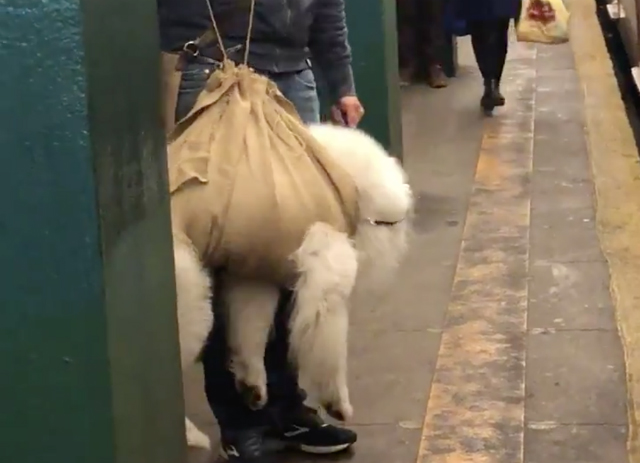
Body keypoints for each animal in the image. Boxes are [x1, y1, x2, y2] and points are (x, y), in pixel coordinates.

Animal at [172, 124, 412, 450]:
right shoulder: (325, 271)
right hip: (191, 309)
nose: (400, 248)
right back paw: (190, 435)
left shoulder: (252, 277)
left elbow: (251, 331)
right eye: (389, 225)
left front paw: (252, 385)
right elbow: (329, 344)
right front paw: (338, 402)